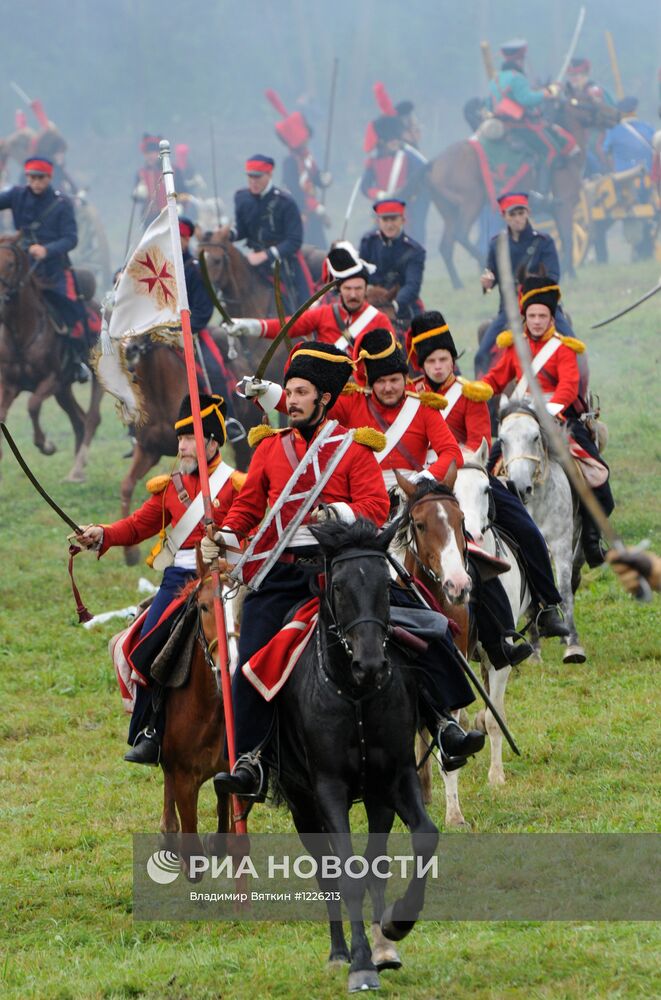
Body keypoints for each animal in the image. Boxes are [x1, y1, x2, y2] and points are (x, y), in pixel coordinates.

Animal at [0, 236, 103, 482]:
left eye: (10, 264)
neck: (22, 333)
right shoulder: (9, 385)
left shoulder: (50, 380)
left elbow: (32, 405)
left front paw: (46, 445)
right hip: (63, 391)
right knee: (79, 419)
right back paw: (76, 472)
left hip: (95, 379)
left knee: (92, 418)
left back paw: (78, 467)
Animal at [274, 520, 438, 996]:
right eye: (339, 587)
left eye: (386, 584)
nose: (371, 664)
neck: (356, 694)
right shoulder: (327, 788)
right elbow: (344, 871)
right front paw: (360, 964)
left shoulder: (396, 776)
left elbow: (422, 838)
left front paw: (398, 925)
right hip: (302, 804)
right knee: (327, 873)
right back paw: (339, 953)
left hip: (376, 798)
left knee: (375, 863)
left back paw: (385, 947)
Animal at [426, 97, 620, 290]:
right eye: (587, 100)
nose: (615, 113)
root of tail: (435, 162)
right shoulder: (564, 205)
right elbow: (567, 238)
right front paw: (566, 273)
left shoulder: (557, 210)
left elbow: (563, 240)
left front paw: (570, 273)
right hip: (472, 202)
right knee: (461, 234)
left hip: (450, 212)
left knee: (446, 246)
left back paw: (458, 284)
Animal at [498, 398, 584, 664]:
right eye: (502, 440)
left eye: (535, 436)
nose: (519, 486)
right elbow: (531, 599)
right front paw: (534, 651)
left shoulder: (560, 544)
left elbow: (564, 591)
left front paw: (573, 645)